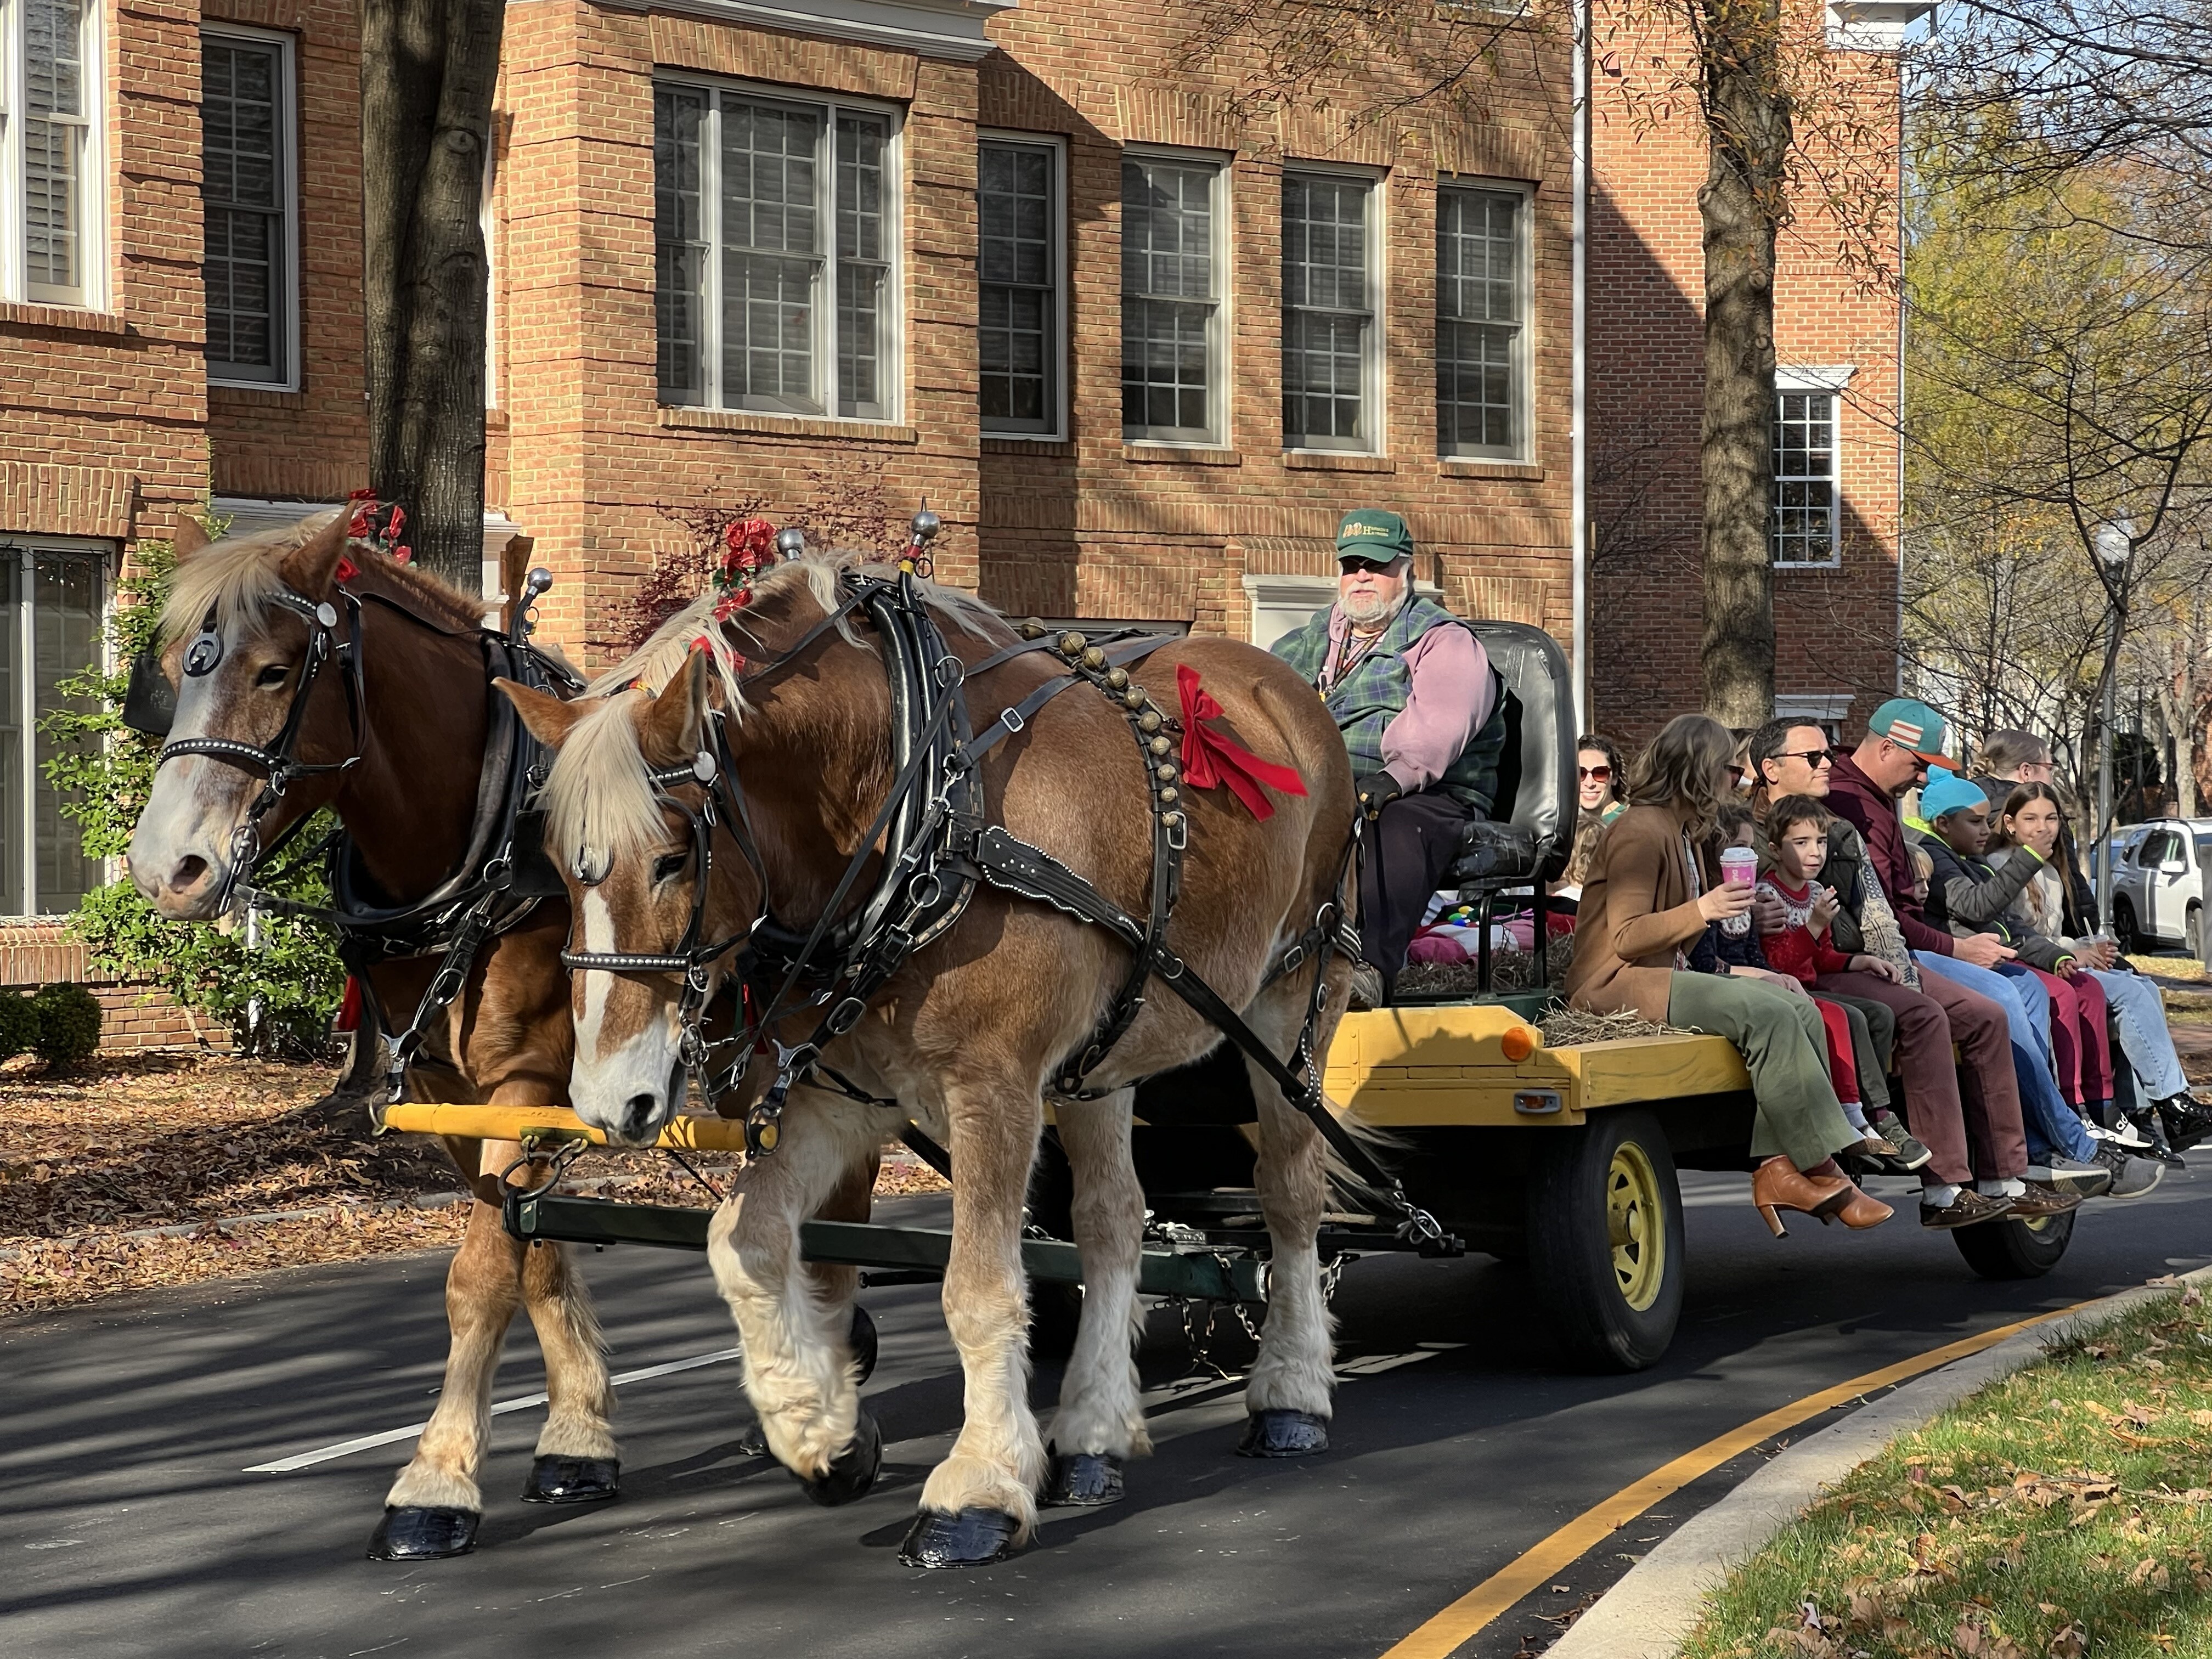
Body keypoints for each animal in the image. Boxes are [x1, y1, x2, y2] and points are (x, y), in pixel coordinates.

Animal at [124, 506, 610, 1557]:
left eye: (275, 671)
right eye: (176, 665)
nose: (164, 868)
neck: (490, 833)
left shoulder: (529, 1075)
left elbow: (482, 1274)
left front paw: (436, 1482)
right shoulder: (451, 1090)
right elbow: (532, 1255)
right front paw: (580, 1435)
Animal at [502, 560, 1380, 1575]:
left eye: (675, 857)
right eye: (556, 864)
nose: (611, 1099)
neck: (919, 813)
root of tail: (1282, 684)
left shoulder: (993, 1086)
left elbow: (978, 1288)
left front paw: (979, 1485)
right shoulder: (846, 1094)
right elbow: (741, 1238)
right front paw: (817, 1428)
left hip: (1295, 998)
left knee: (1290, 1194)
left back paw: (1290, 1392)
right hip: (1107, 1051)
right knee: (1113, 1220)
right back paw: (1092, 1433)